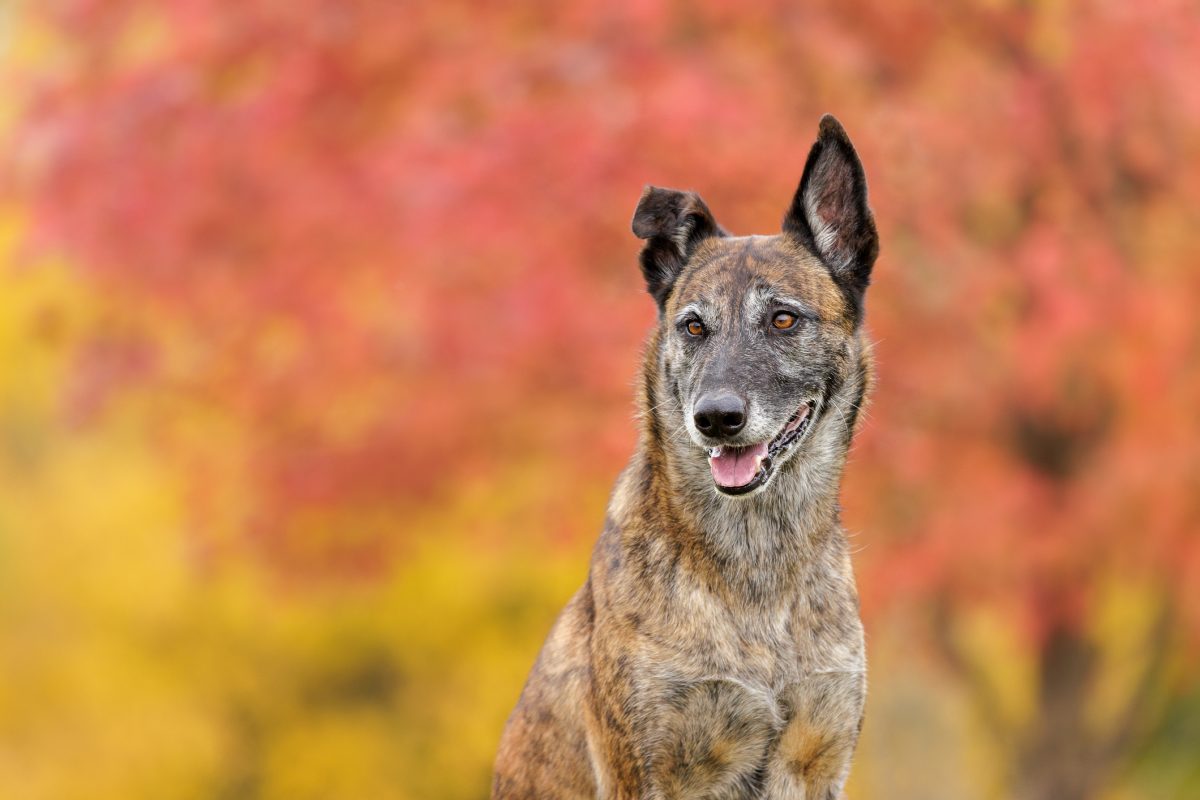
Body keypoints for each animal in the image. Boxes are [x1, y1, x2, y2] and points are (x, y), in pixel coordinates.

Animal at [492, 113, 878, 800]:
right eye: (693, 326)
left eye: (783, 319)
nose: (716, 419)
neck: (757, 567)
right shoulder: (657, 771)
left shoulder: (814, 762)